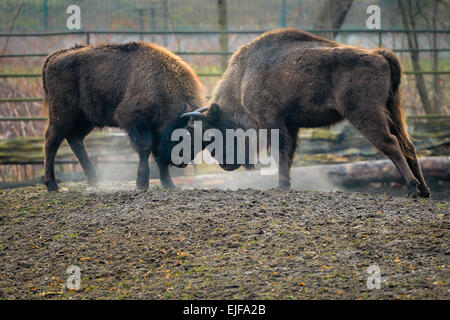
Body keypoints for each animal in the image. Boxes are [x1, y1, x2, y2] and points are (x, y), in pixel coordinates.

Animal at [41, 42, 204, 192]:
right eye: (186, 136)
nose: (182, 162)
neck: (162, 83)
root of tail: (55, 56)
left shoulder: (157, 131)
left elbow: (158, 155)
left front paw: (170, 185)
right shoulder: (133, 119)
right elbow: (145, 148)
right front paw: (142, 184)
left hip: (86, 119)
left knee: (75, 139)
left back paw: (94, 181)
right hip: (63, 115)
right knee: (52, 140)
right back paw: (52, 184)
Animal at [181, 28, 430, 198]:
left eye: (213, 133)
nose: (224, 164)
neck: (243, 78)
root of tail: (380, 55)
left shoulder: (272, 120)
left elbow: (281, 150)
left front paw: (281, 184)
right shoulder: (291, 124)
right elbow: (289, 152)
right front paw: (286, 183)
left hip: (365, 113)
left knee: (390, 143)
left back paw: (412, 189)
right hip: (391, 110)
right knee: (408, 145)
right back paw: (425, 191)